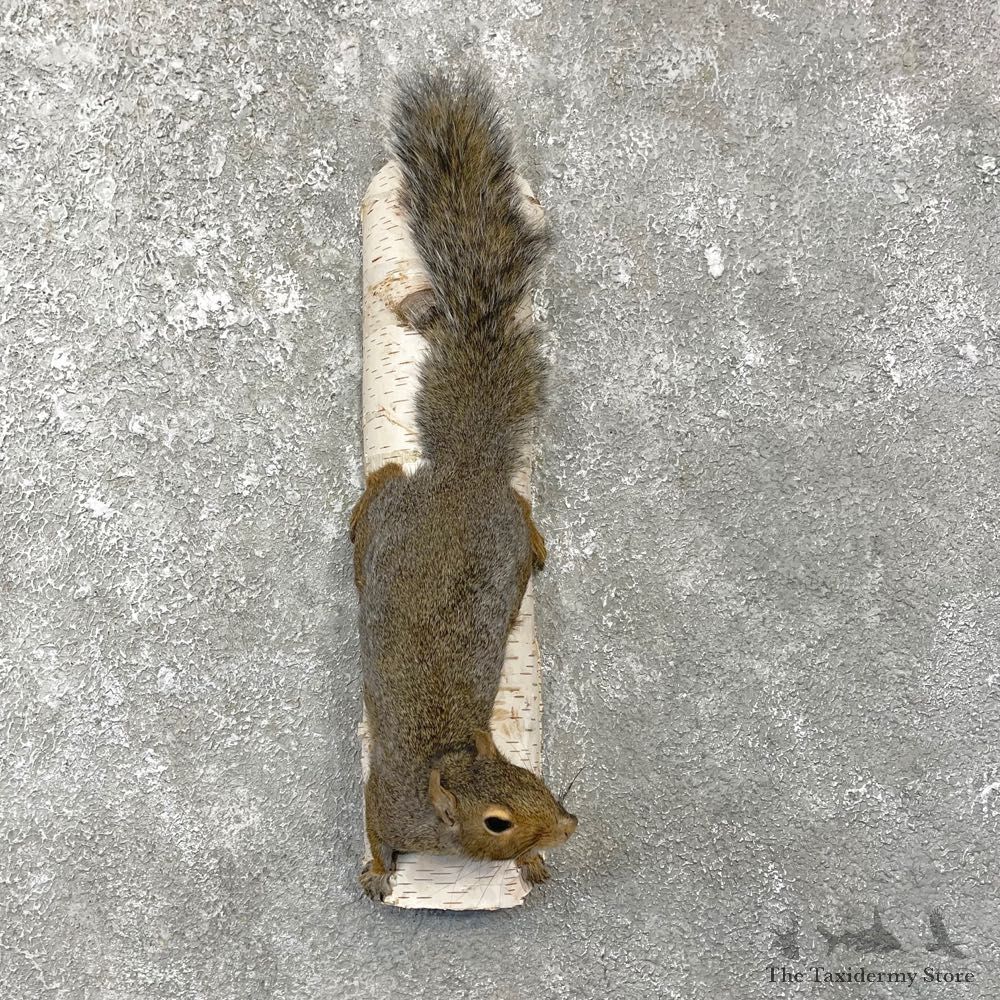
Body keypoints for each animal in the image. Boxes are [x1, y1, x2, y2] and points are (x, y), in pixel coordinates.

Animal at [349, 68, 577, 902]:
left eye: (535, 780)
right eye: (497, 821)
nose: (569, 825)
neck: (446, 761)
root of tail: (463, 476)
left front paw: (537, 865)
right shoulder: (382, 800)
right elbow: (375, 833)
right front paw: (378, 874)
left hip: (503, 545)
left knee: (515, 505)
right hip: (388, 527)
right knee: (382, 488)